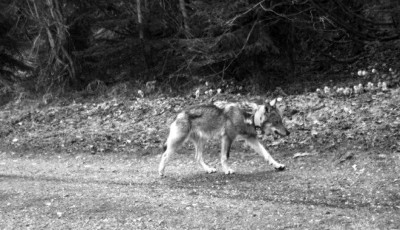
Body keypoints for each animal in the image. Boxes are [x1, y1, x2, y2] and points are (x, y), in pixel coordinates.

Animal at [158, 97, 290, 176]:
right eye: (277, 122)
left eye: (281, 121)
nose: (288, 133)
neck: (250, 117)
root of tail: (178, 114)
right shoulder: (227, 137)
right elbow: (225, 157)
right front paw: (227, 170)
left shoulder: (251, 139)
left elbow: (267, 154)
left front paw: (277, 165)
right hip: (178, 142)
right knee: (165, 155)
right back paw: (161, 172)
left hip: (202, 141)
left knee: (197, 158)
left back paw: (208, 169)